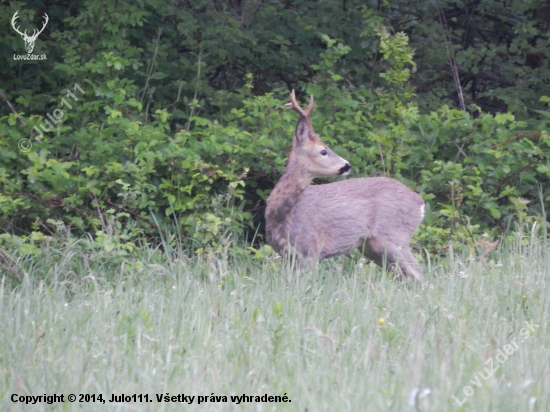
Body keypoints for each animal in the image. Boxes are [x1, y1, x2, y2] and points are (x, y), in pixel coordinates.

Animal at [268, 91, 426, 280]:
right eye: (323, 151)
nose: (347, 165)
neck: (283, 215)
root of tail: (420, 202)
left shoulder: (310, 249)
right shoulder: (287, 255)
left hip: (394, 236)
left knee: (418, 271)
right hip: (371, 247)